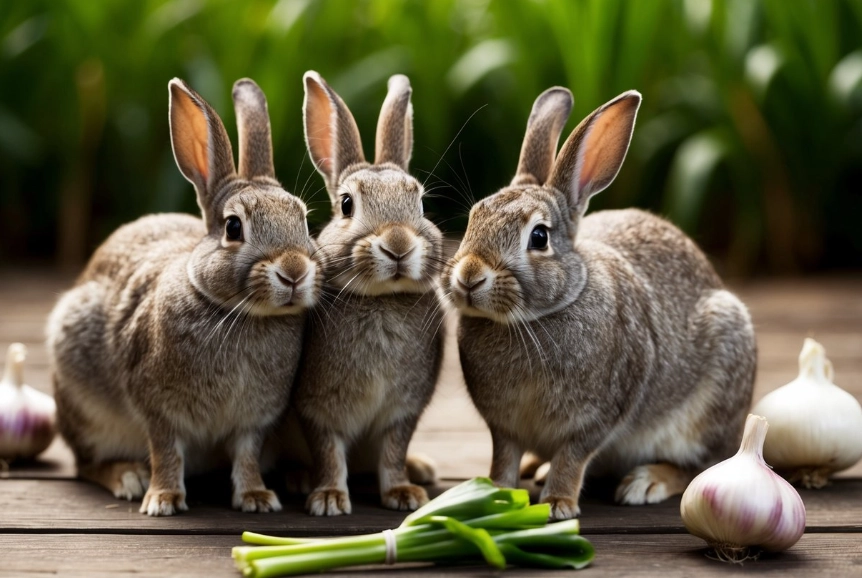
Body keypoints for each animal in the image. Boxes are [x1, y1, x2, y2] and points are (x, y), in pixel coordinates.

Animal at [45, 77, 323, 516]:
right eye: (233, 227)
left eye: (305, 221)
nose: (294, 271)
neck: (240, 313)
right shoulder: (157, 408)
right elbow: (165, 451)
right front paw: (162, 500)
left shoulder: (255, 421)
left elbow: (246, 456)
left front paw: (257, 498)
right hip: (83, 401)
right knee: (86, 464)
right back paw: (127, 477)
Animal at [288, 71, 444, 516]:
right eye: (346, 204)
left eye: (421, 203)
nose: (398, 244)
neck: (380, 300)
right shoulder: (317, 409)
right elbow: (328, 452)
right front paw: (328, 499)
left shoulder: (403, 411)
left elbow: (393, 453)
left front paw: (404, 494)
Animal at [439, 87, 756, 520]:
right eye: (474, 217)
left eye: (539, 237)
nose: (469, 276)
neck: (536, 317)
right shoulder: (504, 428)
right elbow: (503, 457)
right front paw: (495, 493)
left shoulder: (598, 417)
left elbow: (573, 457)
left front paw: (557, 503)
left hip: (717, 388)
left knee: (700, 465)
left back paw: (647, 482)